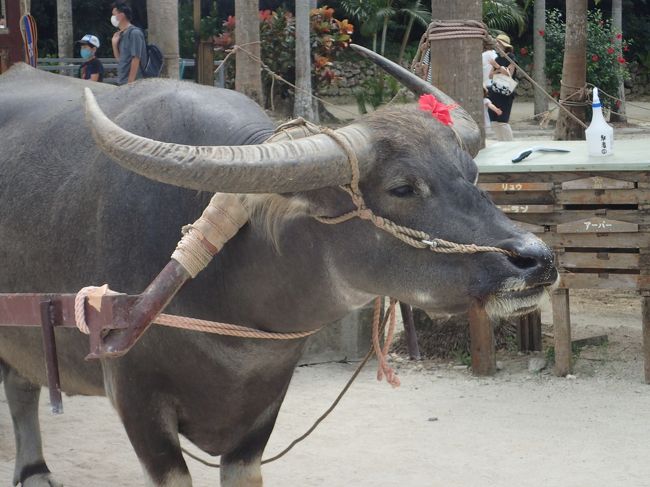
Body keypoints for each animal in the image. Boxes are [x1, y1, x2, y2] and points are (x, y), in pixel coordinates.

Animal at [1, 51, 556, 486]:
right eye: (402, 187)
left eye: (472, 174)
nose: (537, 259)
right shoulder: (137, 399)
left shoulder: (263, 406)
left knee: (20, 380)